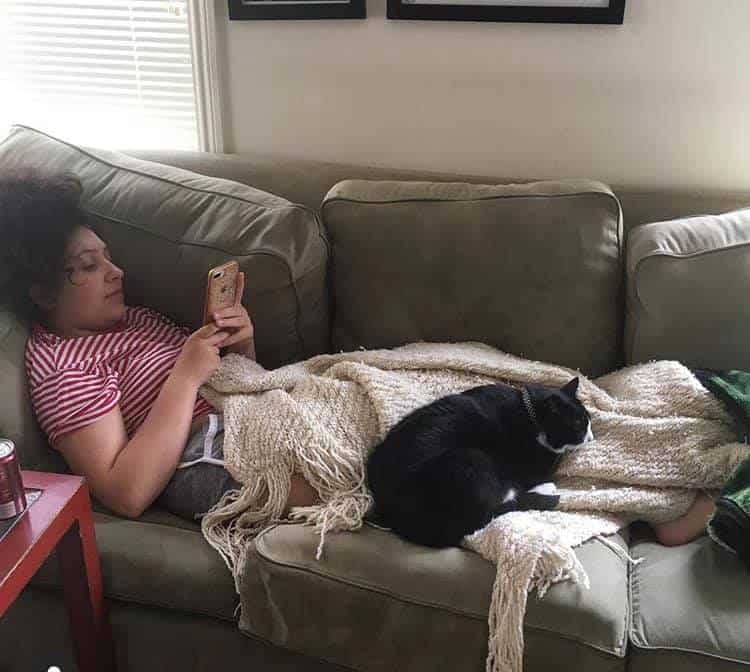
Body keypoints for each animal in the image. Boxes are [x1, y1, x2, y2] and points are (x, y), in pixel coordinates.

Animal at [368, 376, 596, 548]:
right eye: (579, 424)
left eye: (589, 419)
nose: (592, 438)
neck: (529, 411)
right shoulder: (534, 466)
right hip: (469, 459)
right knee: (493, 507)